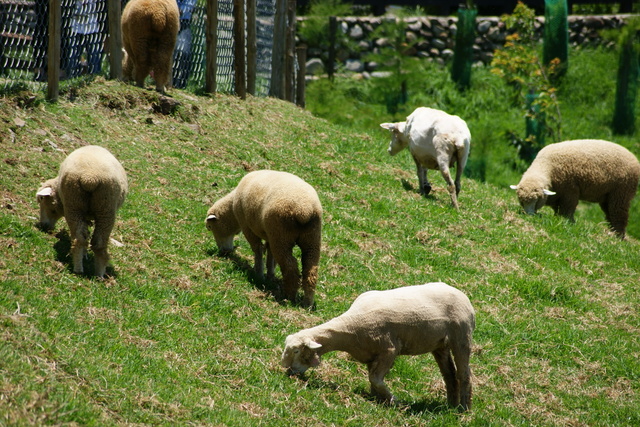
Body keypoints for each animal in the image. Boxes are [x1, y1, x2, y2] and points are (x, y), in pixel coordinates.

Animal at [37, 145, 129, 278]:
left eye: (42, 200)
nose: (43, 225)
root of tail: (90, 178)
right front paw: (85, 254)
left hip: (75, 204)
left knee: (80, 239)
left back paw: (79, 269)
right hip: (104, 208)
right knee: (96, 243)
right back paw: (97, 274)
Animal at [205, 171, 322, 308]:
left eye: (210, 227)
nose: (224, 252)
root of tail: (304, 210)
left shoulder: (248, 227)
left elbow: (258, 249)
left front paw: (259, 273)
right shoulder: (270, 235)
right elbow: (270, 254)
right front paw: (270, 275)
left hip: (281, 235)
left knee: (290, 268)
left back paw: (289, 297)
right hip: (311, 238)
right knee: (311, 270)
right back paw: (308, 302)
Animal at [282, 282, 476, 410]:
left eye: (297, 350)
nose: (288, 372)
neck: (349, 327)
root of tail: (463, 296)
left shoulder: (389, 350)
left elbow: (375, 378)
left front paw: (395, 401)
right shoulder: (371, 353)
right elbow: (372, 379)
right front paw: (376, 399)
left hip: (461, 337)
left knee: (464, 373)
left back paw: (463, 409)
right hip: (440, 345)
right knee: (449, 374)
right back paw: (451, 405)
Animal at [510, 140, 640, 241]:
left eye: (536, 200)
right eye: (521, 200)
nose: (528, 215)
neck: (547, 165)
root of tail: (634, 158)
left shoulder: (570, 191)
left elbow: (567, 210)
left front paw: (567, 222)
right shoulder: (558, 194)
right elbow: (557, 210)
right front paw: (557, 219)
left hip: (621, 193)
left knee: (619, 215)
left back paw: (618, 237)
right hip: (608, 197)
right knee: (610, 214)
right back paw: (612, 233)